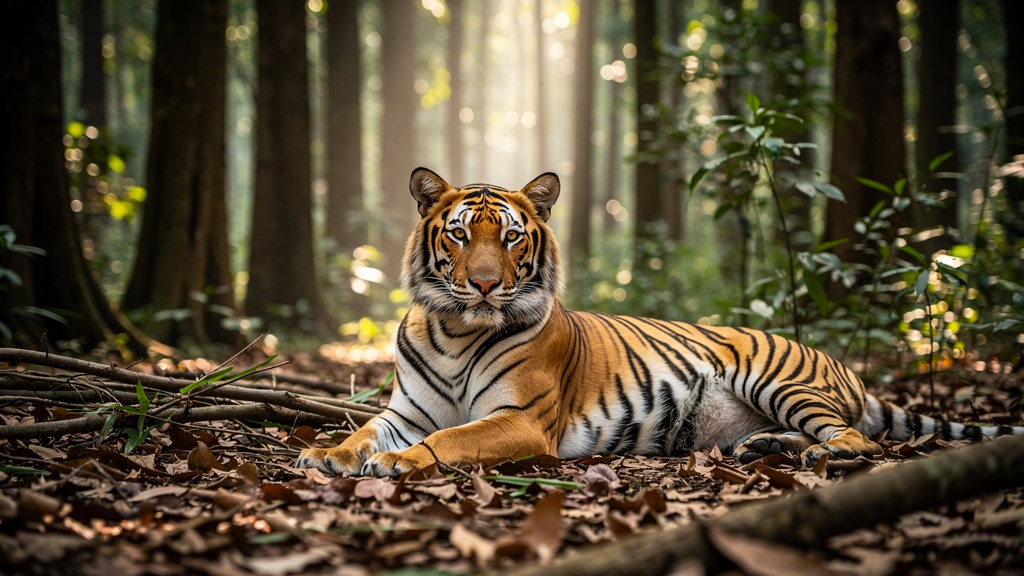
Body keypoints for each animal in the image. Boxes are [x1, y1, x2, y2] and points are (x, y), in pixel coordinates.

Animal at [296, 167, 1024, 477]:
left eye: (508, 237)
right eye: (457, 234)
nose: (482, 284)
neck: (456, 330)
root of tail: (842, 366)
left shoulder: (521, 420)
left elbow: (451, 439)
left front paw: (396, 464)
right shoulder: (405, 411)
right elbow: (364, 431)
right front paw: (326, 454)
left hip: (779, 381)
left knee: (859, 439)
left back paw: (819, 454)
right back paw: (763, 449)